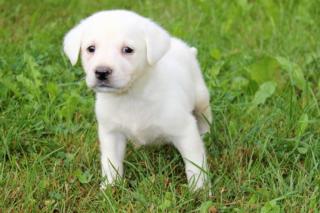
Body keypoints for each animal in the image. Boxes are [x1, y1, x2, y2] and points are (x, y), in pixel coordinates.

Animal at [63, 9, 211, 191]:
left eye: (128, 50)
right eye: (91, 49)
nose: (102, 72)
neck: (130, 96)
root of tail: (185, 48)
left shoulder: (185, 131)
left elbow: (195, 163)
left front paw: (199, 190)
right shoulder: (111, 133)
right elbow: (111, 162)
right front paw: (109, 187)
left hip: (201, 97)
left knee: (205, 115)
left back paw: (206, 132)